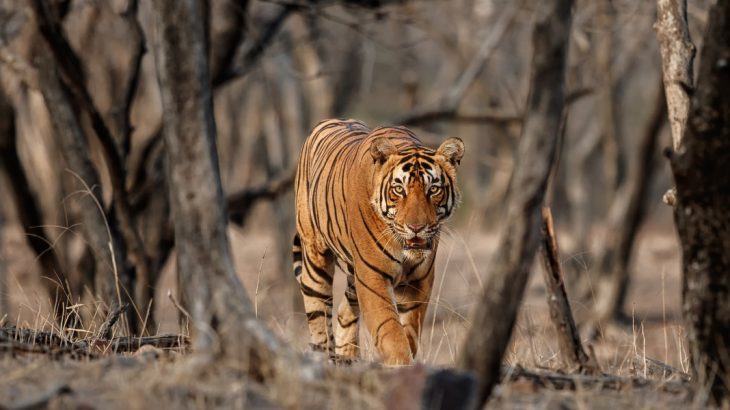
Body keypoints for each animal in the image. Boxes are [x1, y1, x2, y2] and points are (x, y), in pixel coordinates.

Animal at [292, 118, 464, 366]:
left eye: (433, 189)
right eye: (399, 189)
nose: (416, 228)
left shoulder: (419, 281)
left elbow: (410, 332)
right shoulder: (373, 277)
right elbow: (391, 332)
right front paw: (400, 365)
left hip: (354, 274)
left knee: (345, 312)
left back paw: (348, 359)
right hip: (315, 257)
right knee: (319, 318)